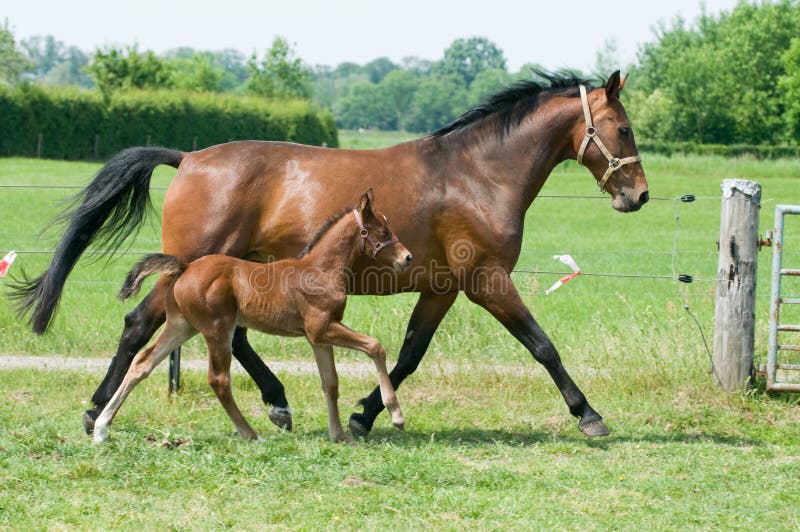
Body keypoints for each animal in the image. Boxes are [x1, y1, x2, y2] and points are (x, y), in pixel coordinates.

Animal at [92, 189, 412, 442]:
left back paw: (101, 428)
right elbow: (375, 346)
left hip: (181, 325)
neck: (321, 270)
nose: (407, 257)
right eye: (382, 231)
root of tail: (185, 267)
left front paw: (340, 435)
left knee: (143, 363)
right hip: (217, 328)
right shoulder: (323, 327)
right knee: (219, 379)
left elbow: (330, 382)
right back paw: (250, 434)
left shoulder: (317, 337)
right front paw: (396, 416)